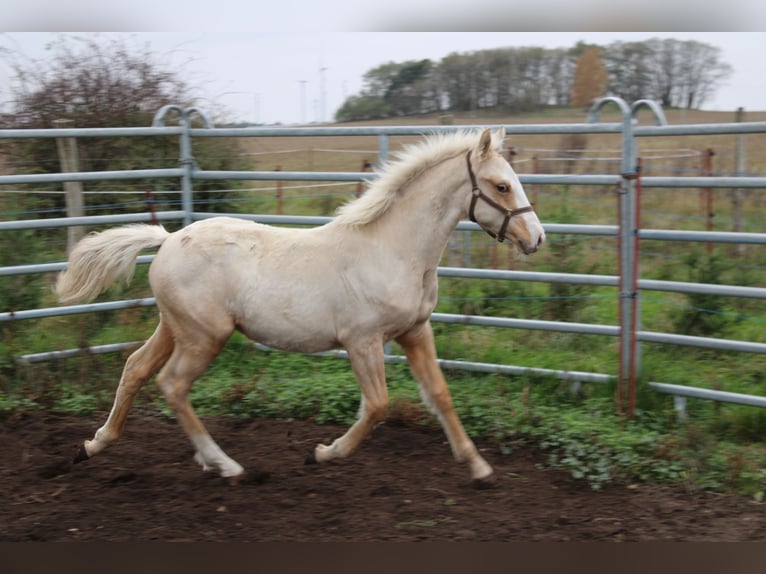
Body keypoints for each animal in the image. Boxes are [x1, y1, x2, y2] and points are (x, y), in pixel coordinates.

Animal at [55, 128, 544, 488]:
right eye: (501, 185)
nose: (536, 238)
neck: (390, 249)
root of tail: (169, 238)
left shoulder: (415, 331)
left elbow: (440, 395)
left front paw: (479, 468)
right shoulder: (363, 341)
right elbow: (377, 405)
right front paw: (324, 453)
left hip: (174, 327)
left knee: (136, 369)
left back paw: (92, 446)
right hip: (203, 336)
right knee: (172, 384)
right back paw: (226, 465)